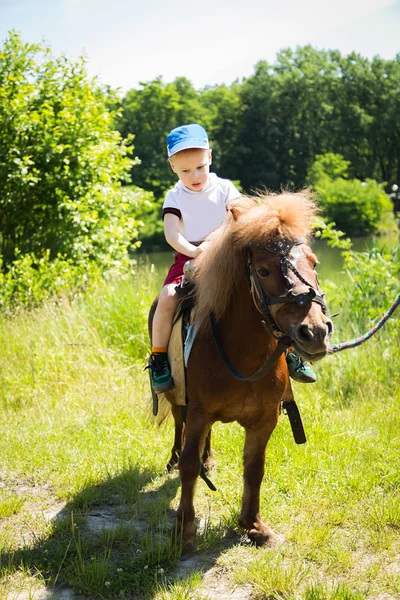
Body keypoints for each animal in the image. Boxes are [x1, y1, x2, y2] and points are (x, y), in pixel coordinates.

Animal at [150, 192, 332, 552]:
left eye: (314, 263)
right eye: (263, 270)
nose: (316, 332)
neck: (244, 355)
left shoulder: (264, 420)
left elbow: (254, 468)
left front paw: (253, 525)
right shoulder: (199, 411)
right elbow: (188, 467)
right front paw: (184, 528)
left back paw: (208, 460)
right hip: (177, 397)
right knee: (178, 425)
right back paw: (174, 457)